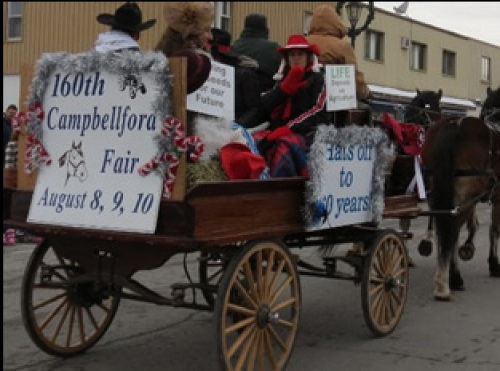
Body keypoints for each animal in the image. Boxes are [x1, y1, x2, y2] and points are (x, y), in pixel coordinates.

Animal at [422, 85, 500, 300]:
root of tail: (454, 124)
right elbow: (494, 229)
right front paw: (494, 263)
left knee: (444, 227)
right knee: (453, 229)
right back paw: (450, 280)